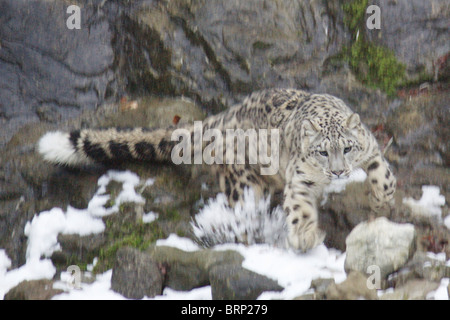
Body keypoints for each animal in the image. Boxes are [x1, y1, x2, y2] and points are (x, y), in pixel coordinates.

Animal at [39, 89, 398, 251]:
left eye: (347, 148)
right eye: (322, 152)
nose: (337, 172)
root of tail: (224, 116)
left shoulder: (371, 149)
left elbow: (384, 175)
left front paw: (380, 203)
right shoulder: (301, 179)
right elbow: (300, 208)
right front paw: (306, 237)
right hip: (242, 181)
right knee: (242, 212)